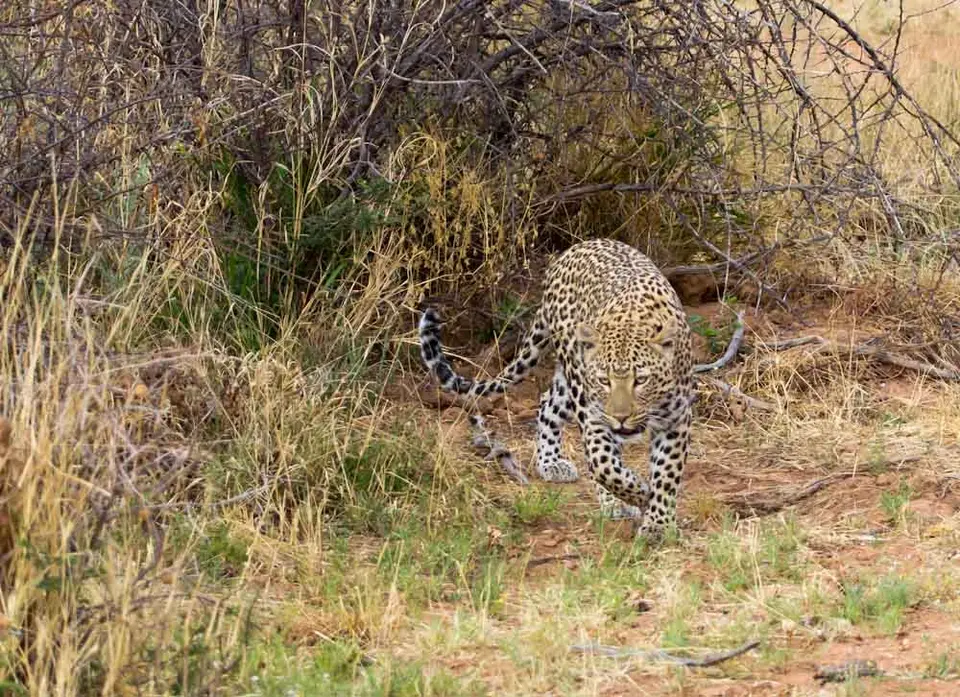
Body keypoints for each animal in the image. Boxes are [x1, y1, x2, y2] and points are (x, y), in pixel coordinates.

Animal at [419, 238, 695, 539]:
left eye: (641, 380)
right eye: (604, 380)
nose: (620, 418)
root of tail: (572, 251)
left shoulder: (676, 419)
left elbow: (666, 474)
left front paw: (659, 525)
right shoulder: (594, 415)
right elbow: (604, 464)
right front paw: (639, 492)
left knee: (547, 403)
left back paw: (552, 463)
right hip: (575, 378)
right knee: (563, 420)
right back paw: (589, 487)